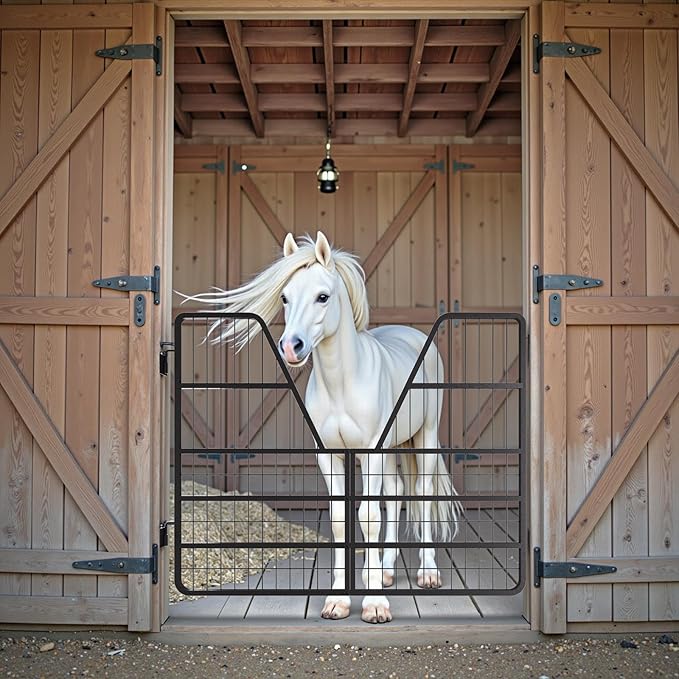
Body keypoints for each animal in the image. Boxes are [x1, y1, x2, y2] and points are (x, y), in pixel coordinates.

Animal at [183, 231, 462, 624]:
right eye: (285, 297)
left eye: (323, 296)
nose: (291, 346)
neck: (343, 382)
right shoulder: (330, 456)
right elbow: (341, 519)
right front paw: (340, 599)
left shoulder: (370, 452)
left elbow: (368, 517)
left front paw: (375, 605)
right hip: (393, 449)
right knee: (395, 493)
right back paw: (386, 570)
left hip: (424, 438)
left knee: (421, 493)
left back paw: (427, 573)